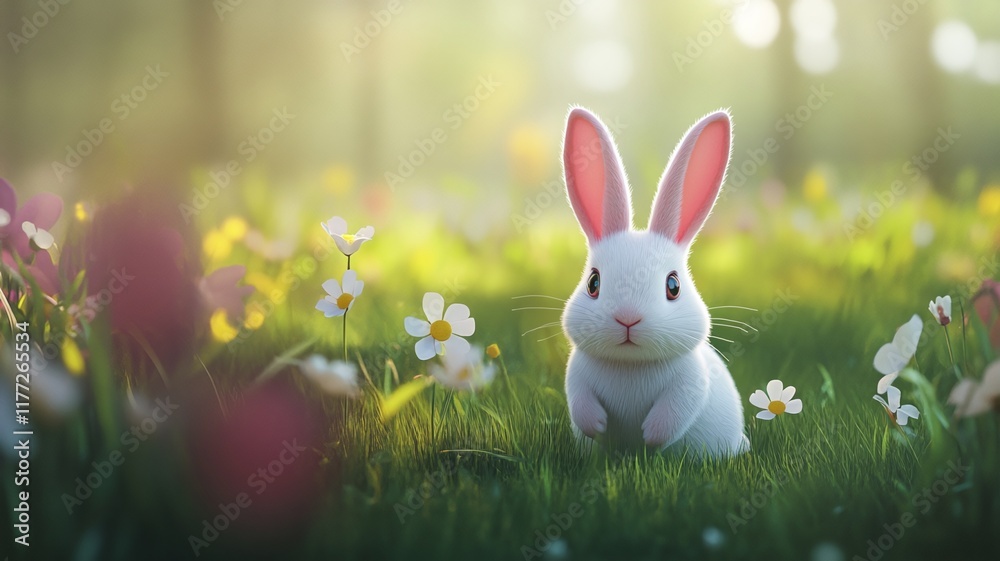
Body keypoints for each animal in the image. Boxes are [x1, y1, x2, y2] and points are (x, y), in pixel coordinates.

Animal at [560, 107, 749, 457]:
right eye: (593, 283)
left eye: (673, 286)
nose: (627, 319)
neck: (632, 365)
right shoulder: (576, 374)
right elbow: (579, 401)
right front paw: (598, 426)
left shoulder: (690, 382)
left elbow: (676, 411)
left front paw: (650, 436)